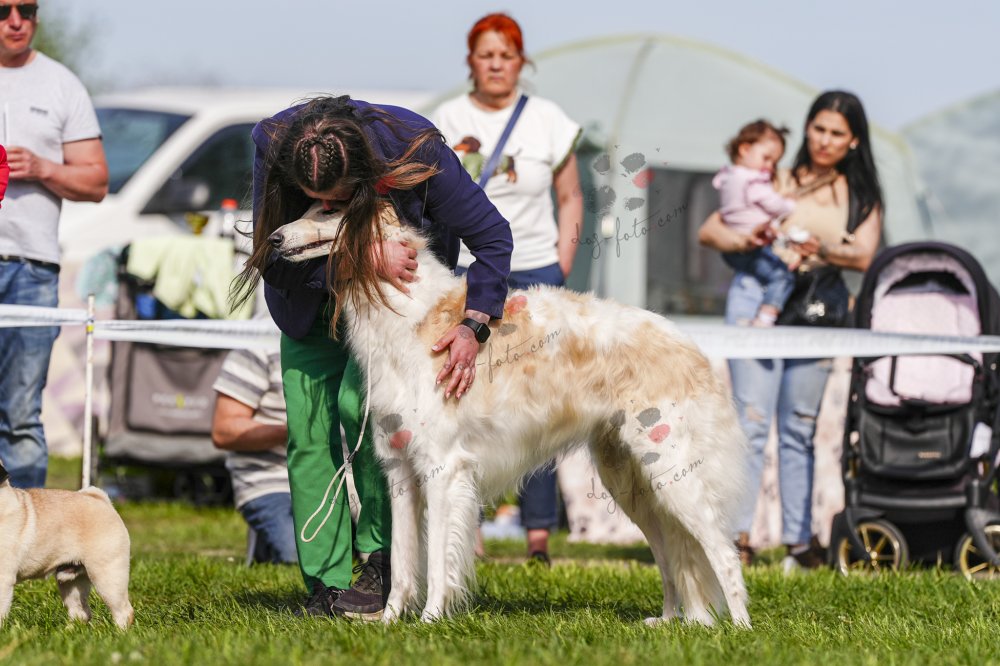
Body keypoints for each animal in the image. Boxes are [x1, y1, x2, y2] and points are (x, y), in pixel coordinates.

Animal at [0, 462, 134, 629]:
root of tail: (101, 499)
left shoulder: (3, 578)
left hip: (108, 576)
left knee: (123, 611)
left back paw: (119, 632)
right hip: (72, 582)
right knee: (81, 612)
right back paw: (68, 632)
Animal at [269, 202, 750, 627]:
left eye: (329, 210)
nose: (272, 238)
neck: (410, 319)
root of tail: (692, 347)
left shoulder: (442, 468)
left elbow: (438, 561)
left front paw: (429, 621)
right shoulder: (399, 469)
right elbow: (404, 568)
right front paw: (388, 622)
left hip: (675, 475)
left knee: (724, 555)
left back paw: (739, 629)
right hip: (635, 485)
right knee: (671, 558)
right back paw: (670, 622)